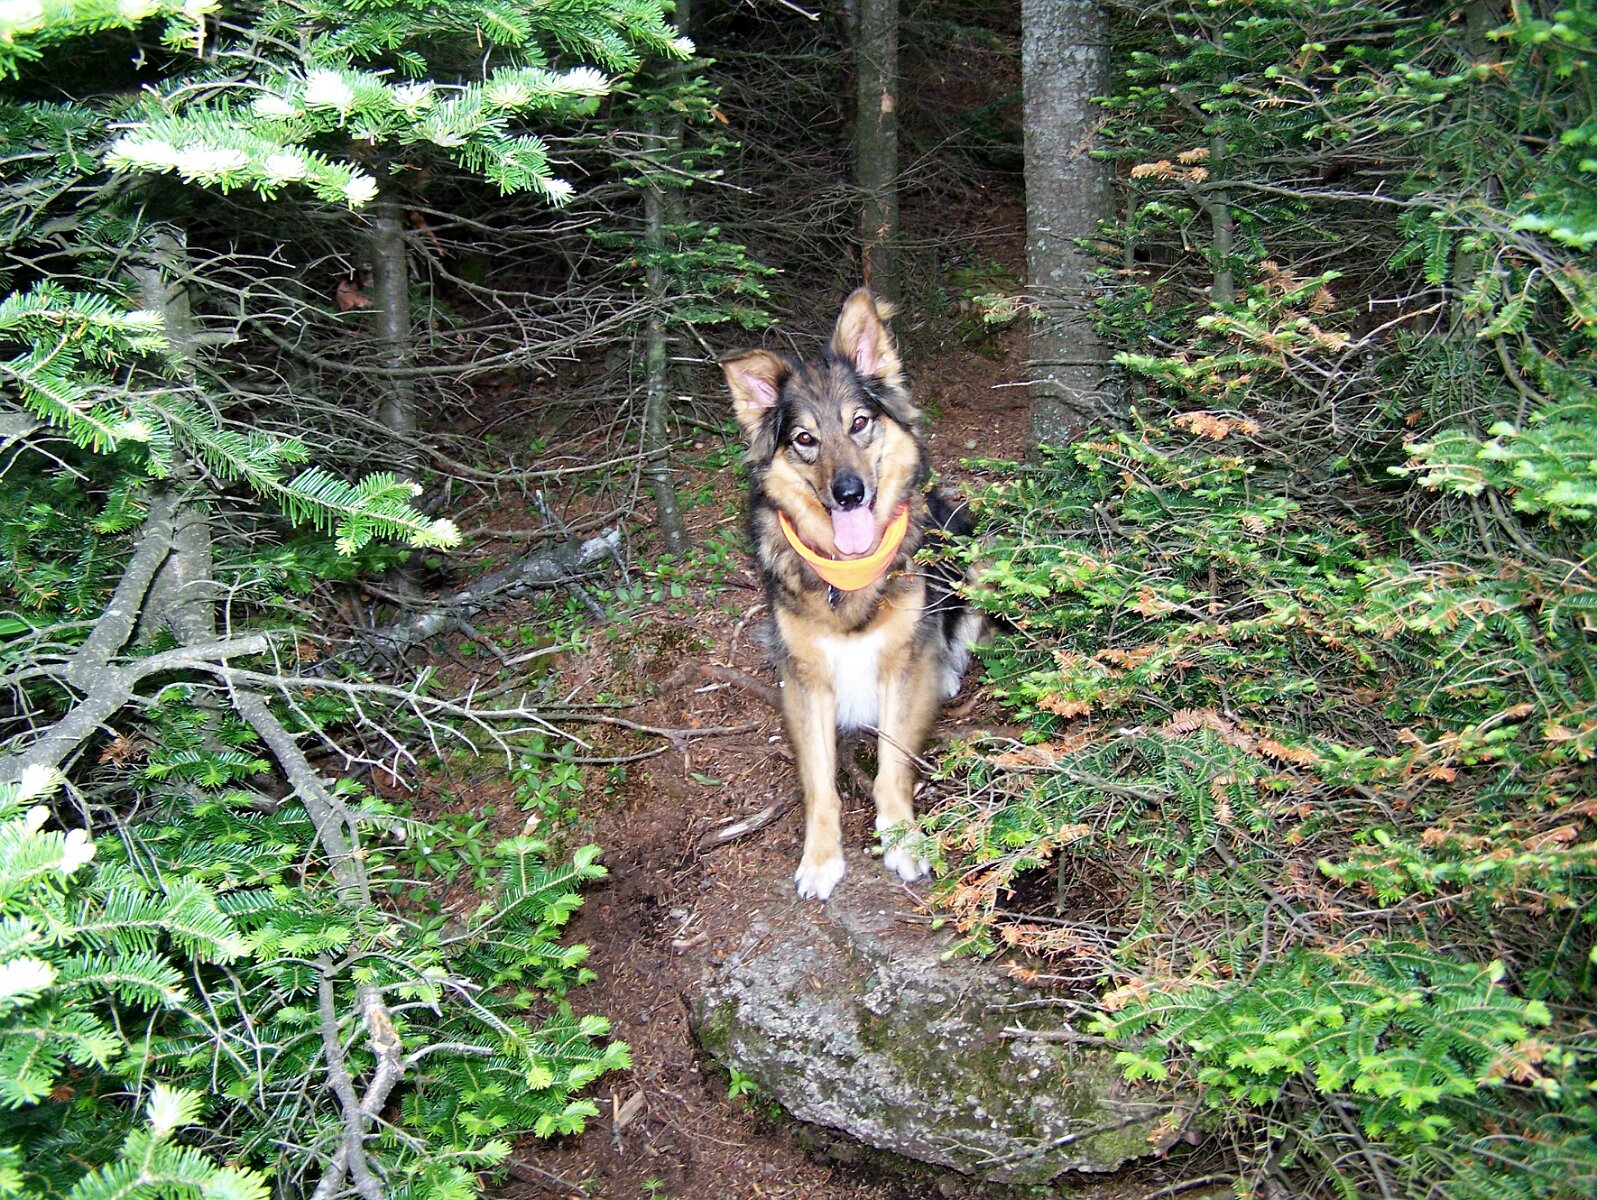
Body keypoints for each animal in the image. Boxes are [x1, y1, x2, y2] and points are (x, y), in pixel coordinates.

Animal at [722, 289, 983, 901]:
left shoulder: (902, 666)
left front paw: (901, 840)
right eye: (805, 439)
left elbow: (892, 767)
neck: (849, 573)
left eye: (860, 422)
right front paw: (820, 859)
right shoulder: (806, 680)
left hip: (969, 545)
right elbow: (821, 784)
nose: (848, 494)